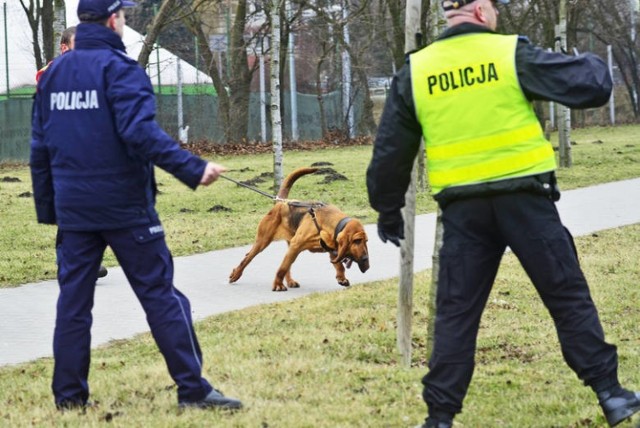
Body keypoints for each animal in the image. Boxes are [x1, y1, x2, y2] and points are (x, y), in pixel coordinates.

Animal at [229, 167, 370, 290]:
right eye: (357, 240)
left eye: (366, 241)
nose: (365, 259)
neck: (329, 224)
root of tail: (281, 202)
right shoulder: (296, 245)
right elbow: (281, 268)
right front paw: (278, 285)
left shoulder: (330, 247)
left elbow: (339, 265)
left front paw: (341, 278)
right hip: (263, 242)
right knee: (248, 257)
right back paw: (236, 274)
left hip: (289, 245)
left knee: (286, 264)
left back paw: (290, 281)